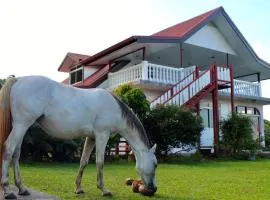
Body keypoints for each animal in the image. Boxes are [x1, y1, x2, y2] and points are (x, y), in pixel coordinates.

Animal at [0, 76, 157, 198]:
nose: (153, 188)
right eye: (155, 164)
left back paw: (21, 188)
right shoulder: (102, 135)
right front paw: (104, 190)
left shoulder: (91, 138)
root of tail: (18, 80)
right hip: (21, 125)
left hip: (21, 127)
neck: (115, 109)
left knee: (16, 154)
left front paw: (78, 188)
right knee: (8, 149)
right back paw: (7, 190)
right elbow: (100, 162)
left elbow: (84, 161)